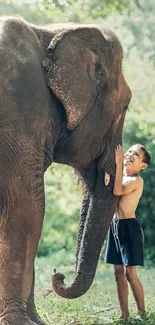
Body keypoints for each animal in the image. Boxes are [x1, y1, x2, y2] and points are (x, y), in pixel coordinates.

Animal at [0, 15, 131, 324]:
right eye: (126, 107)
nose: (58, 275)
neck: (50, 32)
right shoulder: (21, 110)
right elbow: (27, 207)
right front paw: (21, 322)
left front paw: (36, 322)